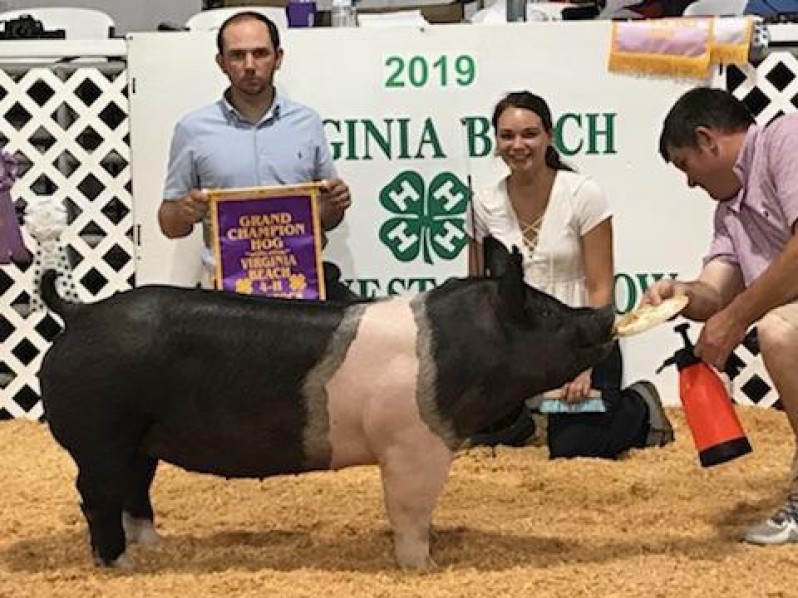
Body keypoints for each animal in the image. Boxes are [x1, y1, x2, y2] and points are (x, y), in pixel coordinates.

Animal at [37, 238, 616, 572]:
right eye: (548, 312)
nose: (604, 314)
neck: (456, 352)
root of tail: (79, 314)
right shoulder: (412, 442)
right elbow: (410, 509)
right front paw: (423, 568)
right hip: (101, 434)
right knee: (95, 496)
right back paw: (121, 566)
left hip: (141, 439)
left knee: (133, 490)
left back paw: (152, 550)